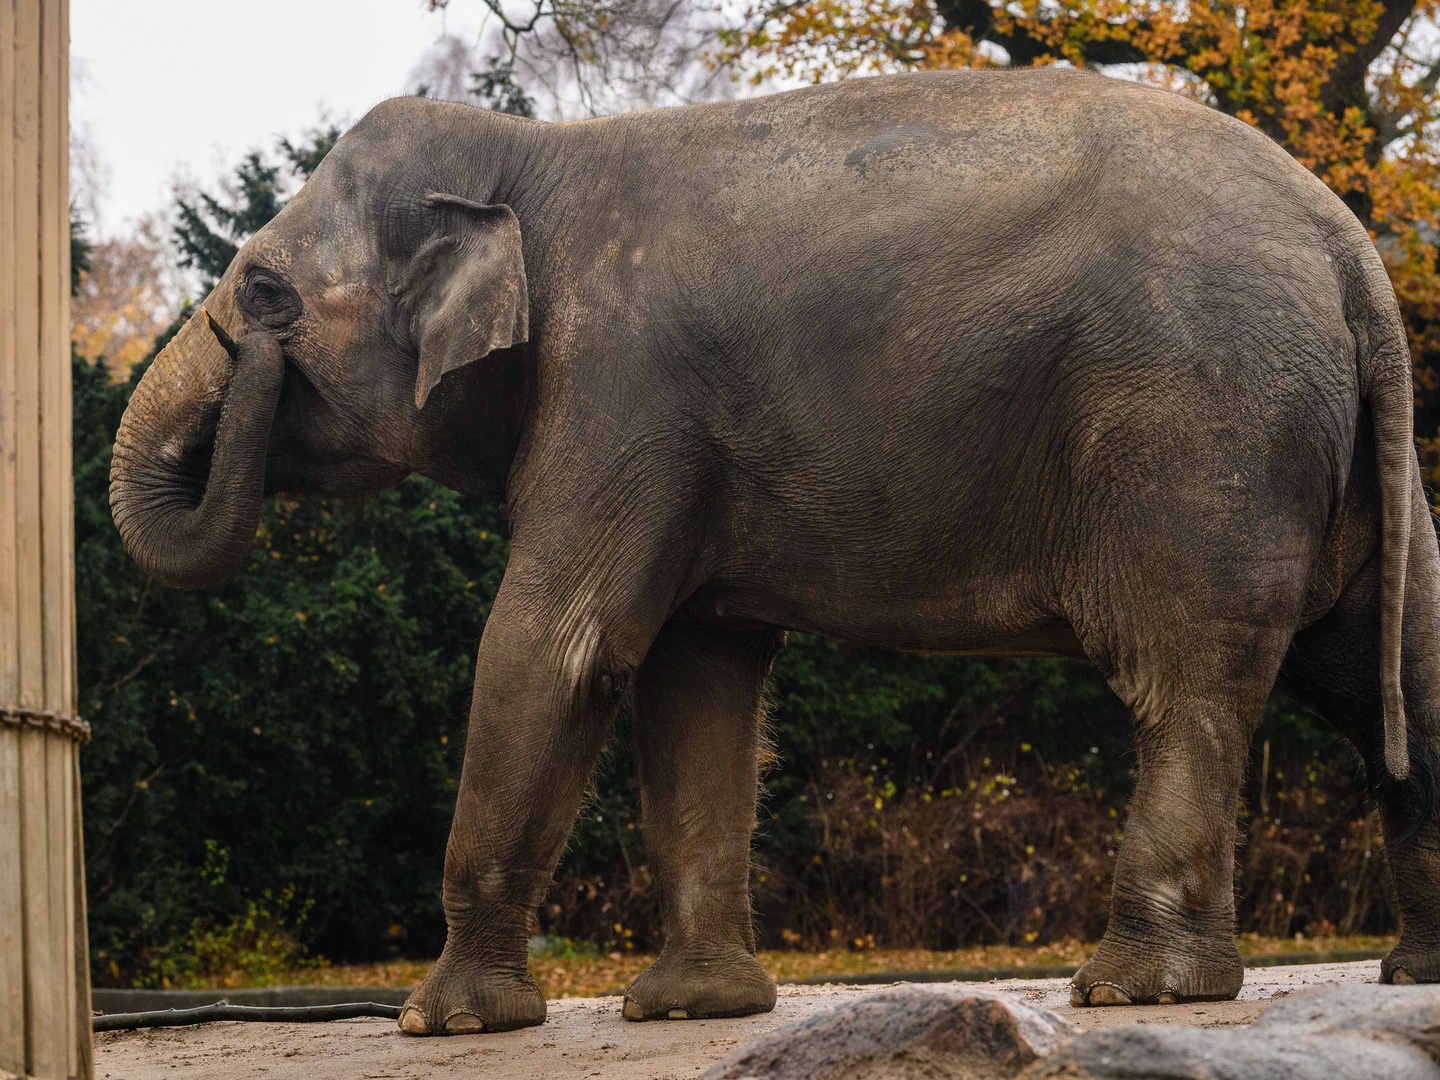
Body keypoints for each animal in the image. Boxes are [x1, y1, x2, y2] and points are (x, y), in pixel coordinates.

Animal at [112, 63, 1440, 1036]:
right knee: (1395, 669)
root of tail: (1349, 245)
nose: (257, 338)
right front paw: (691, 1010)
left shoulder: (622, 389)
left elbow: (554, 647)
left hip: (1198, 428)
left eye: (268, 293)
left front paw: (446, 1024)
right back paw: (1409, 975)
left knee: (1186, 678)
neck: (527, 154)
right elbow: (694, 676)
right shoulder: (676, 436)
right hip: (1329, 459)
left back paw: (1137, 991)